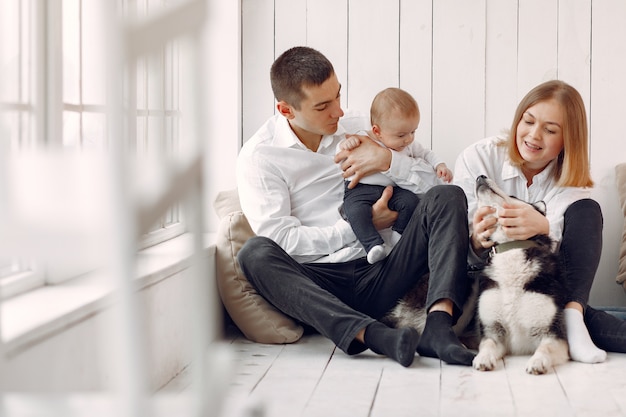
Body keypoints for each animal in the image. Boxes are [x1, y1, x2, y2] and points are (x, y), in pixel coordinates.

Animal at [382, 173, 568, 374]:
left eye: (513, 196)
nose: (481, 176)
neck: (509, 249)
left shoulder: (554, 334)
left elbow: (545, 348)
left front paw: (537, 361)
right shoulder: (492, 331)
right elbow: (487, 345)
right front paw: (483, 358)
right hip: (469, 290)